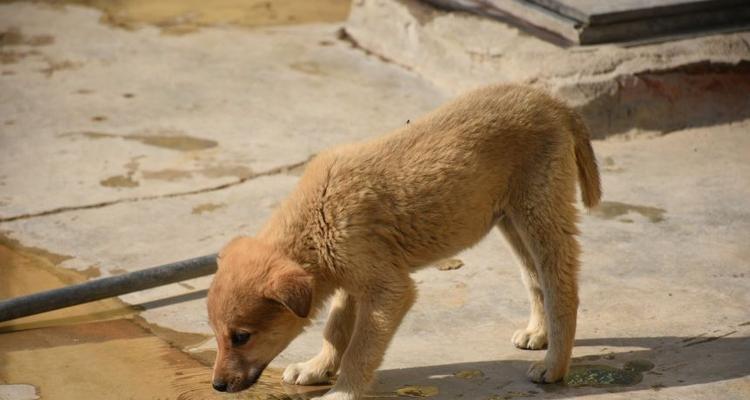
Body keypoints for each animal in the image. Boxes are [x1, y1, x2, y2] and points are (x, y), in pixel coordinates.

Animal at [207, 83, 604, 398]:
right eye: (216, 333)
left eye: (241, 336)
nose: (217, 386)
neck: (318, 220)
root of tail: (551, 101)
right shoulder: (354, 279)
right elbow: (336, 329)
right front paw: (317, 367)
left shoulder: (388, 289)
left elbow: (360, 349)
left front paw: (343, 392)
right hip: (512, 220)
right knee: (534, 278)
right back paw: (539, 333)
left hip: (541, 212)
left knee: (561, 288)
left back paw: (554, 367)